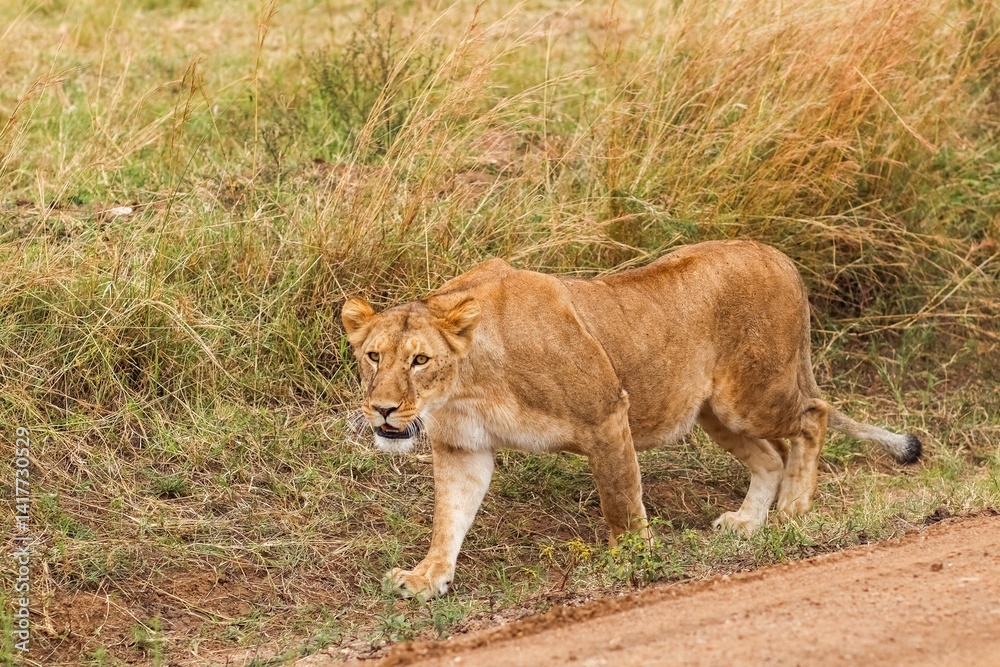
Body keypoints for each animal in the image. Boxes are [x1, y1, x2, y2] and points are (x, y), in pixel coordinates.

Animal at [341, 240, 922, 599]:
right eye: (373, 357)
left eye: (420, 360)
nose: (383, 408)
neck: (468, 384)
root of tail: (779, 256)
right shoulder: (464, 448)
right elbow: (449, 519)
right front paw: (426, 578)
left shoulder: (605, 414)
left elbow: (620, 501)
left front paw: (633, 561)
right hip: (714, 413)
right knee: (769, 456)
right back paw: (747, 522)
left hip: (751, 395)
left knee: (812, 418)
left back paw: (793, 511)